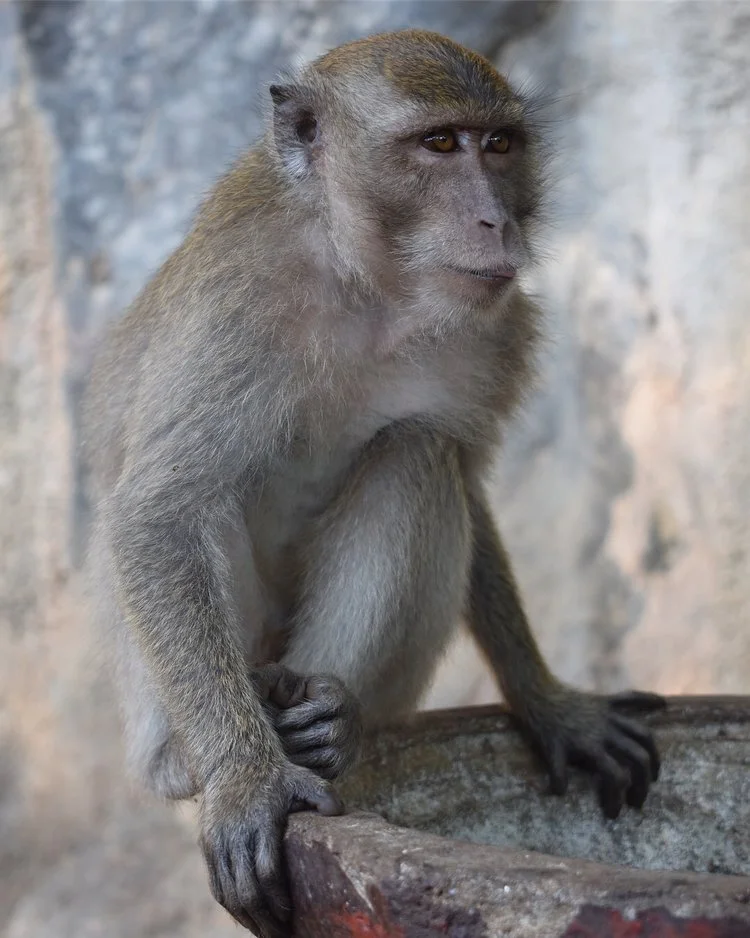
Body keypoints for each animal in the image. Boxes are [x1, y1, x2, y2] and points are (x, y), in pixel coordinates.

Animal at [82, 29, 665, 938]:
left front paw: (550, 703)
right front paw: (248, 784)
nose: (496, 219)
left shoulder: (495, 333)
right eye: (439, 144)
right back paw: (229, 742)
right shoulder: (232, 306)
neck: (370, 285)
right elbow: (161, 512)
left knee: (417, 452)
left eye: (499, 145)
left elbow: (464, 479)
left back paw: (327, 716)